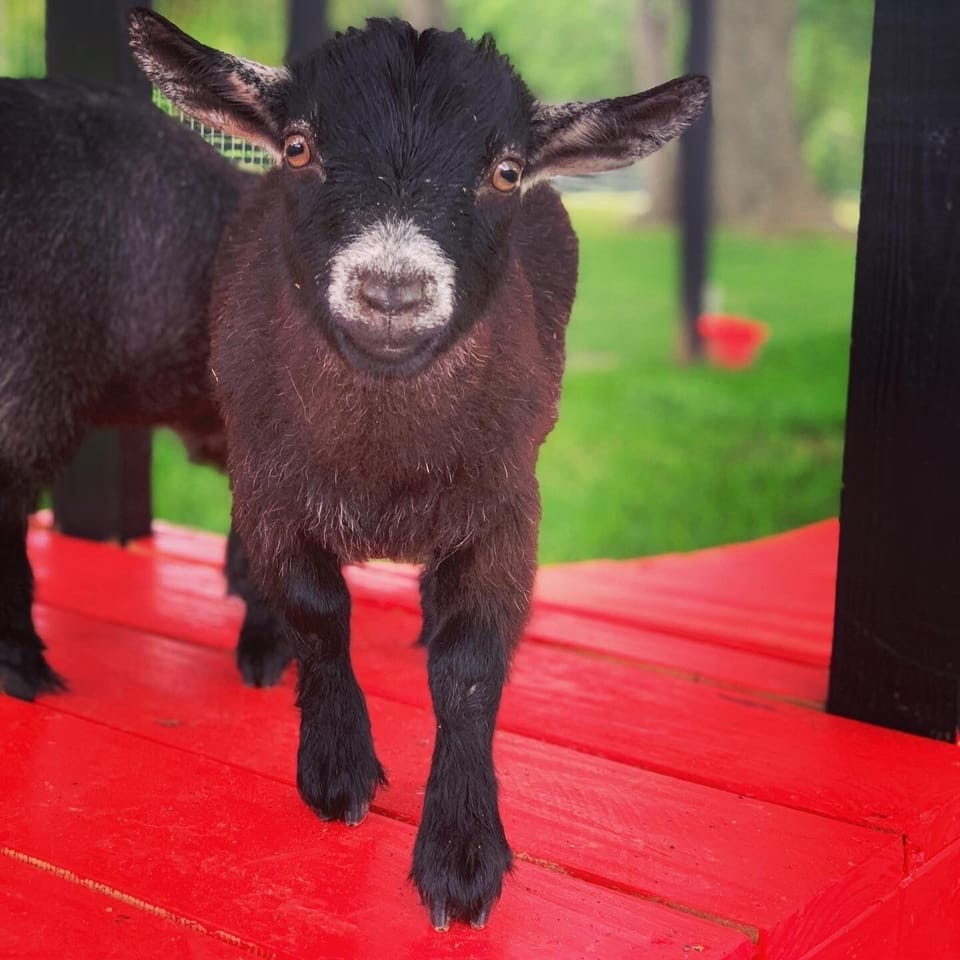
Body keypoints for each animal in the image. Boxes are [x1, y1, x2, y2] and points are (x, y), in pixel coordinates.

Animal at [129, 9, 709, 930]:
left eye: (505, 171)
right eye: (298, 147)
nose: (392, 293)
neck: (386, 465)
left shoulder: (506, 505)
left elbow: (469, 664)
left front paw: (462, 852)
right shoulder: (272, 490)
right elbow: (316, 611)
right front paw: (336, 768)